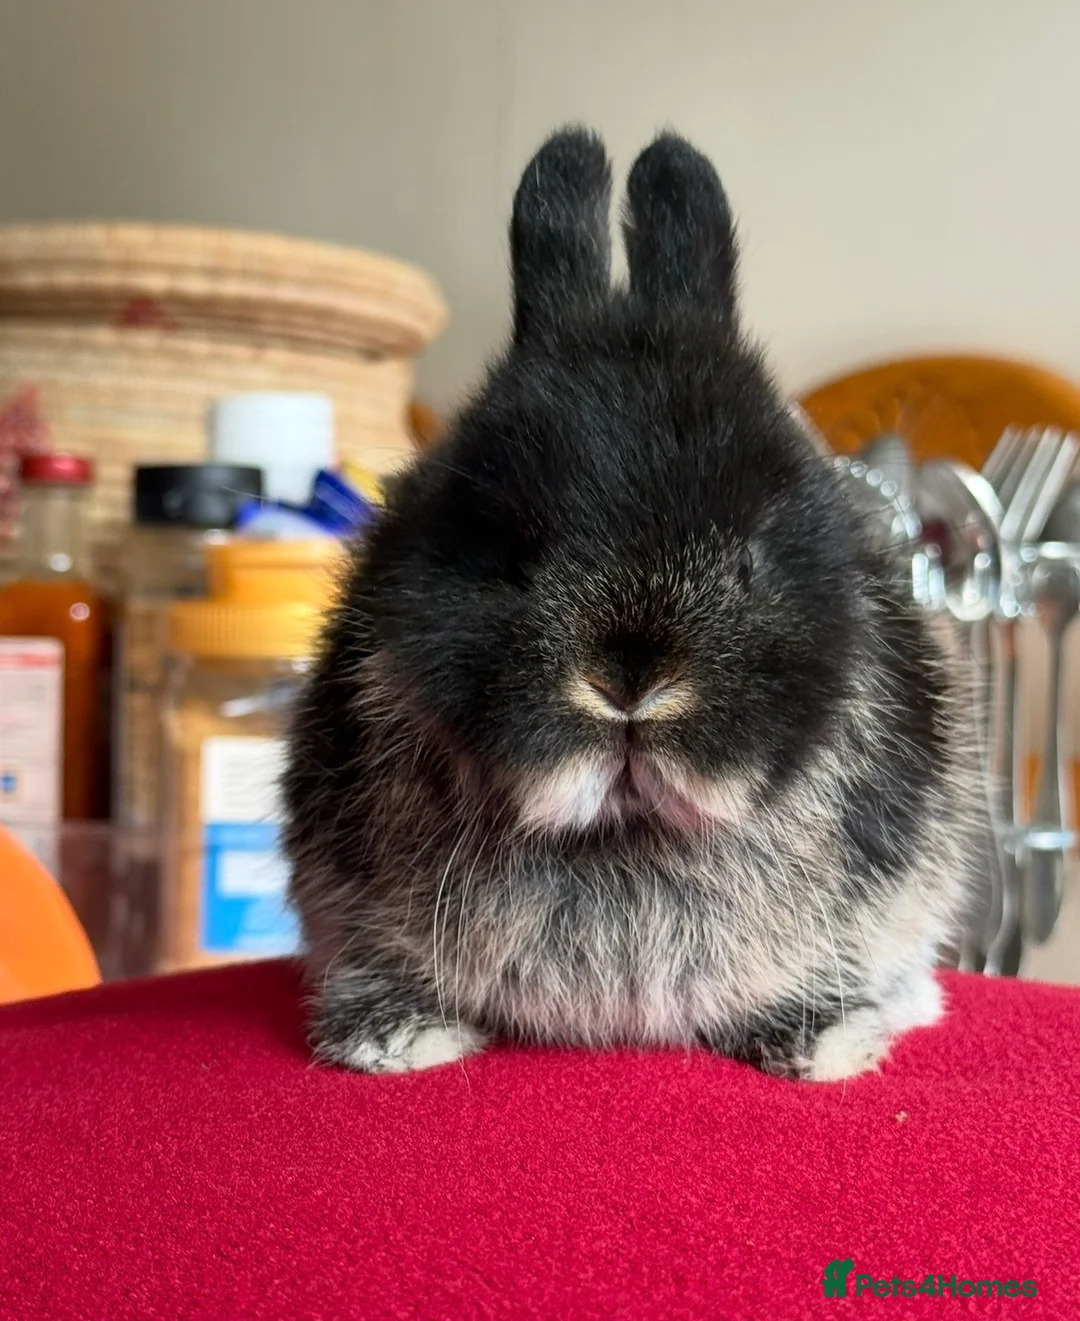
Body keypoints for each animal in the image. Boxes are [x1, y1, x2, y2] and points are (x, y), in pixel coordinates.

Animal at [282, 126, 977, 1082]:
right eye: (509, 554)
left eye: (753, 557)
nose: (630, 680)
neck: (624, 832)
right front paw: (395, 1038)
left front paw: (832, 1038)